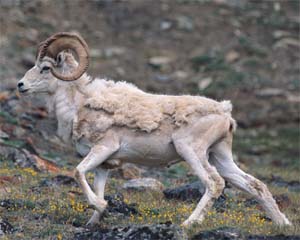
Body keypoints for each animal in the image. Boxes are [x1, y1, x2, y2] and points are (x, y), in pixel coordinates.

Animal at [17, 32, 290, 227]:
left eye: (45, 68)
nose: (20, 85)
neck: (79, 103)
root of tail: (225, 114)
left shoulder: (103, 148)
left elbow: (77, 172)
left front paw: (101, 208)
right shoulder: (105, 164)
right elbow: (96, 185)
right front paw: (95, 219)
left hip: (192, 151)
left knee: (214, 183)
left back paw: (189, 223)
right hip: (220, 156)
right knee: (255, 185)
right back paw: (283, 224)